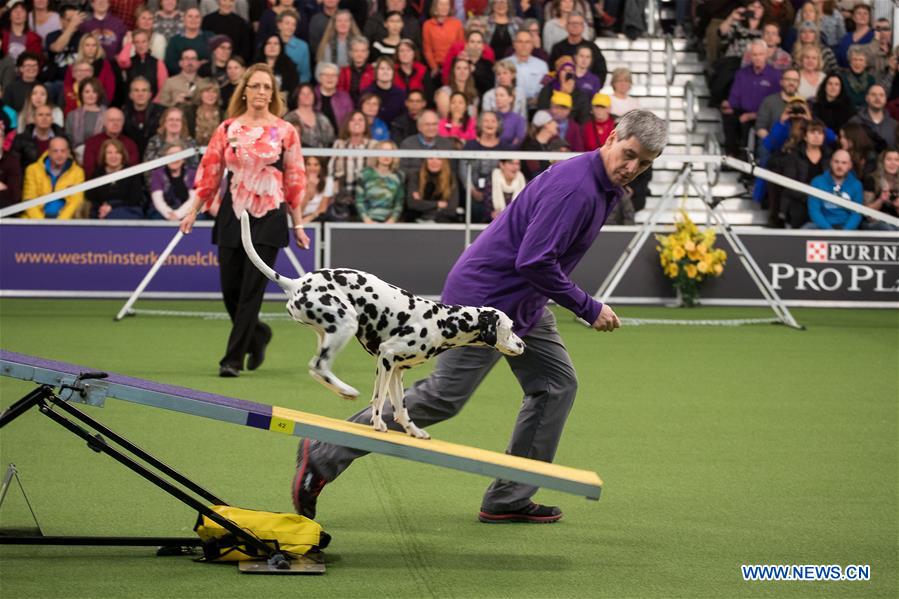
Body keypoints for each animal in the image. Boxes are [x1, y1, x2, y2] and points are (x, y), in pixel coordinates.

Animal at [239, 213, 528, 438]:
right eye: (511, 327)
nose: (523, 344)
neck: (441, 321)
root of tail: (297, 282)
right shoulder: (387, 357)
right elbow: (378, 399)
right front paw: (377, 424)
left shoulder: (397, 371)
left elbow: (400, 407)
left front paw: (413, 431)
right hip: (346, 324)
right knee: (318, 366)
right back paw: (346, 390)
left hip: (329, 332)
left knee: (318, 367)